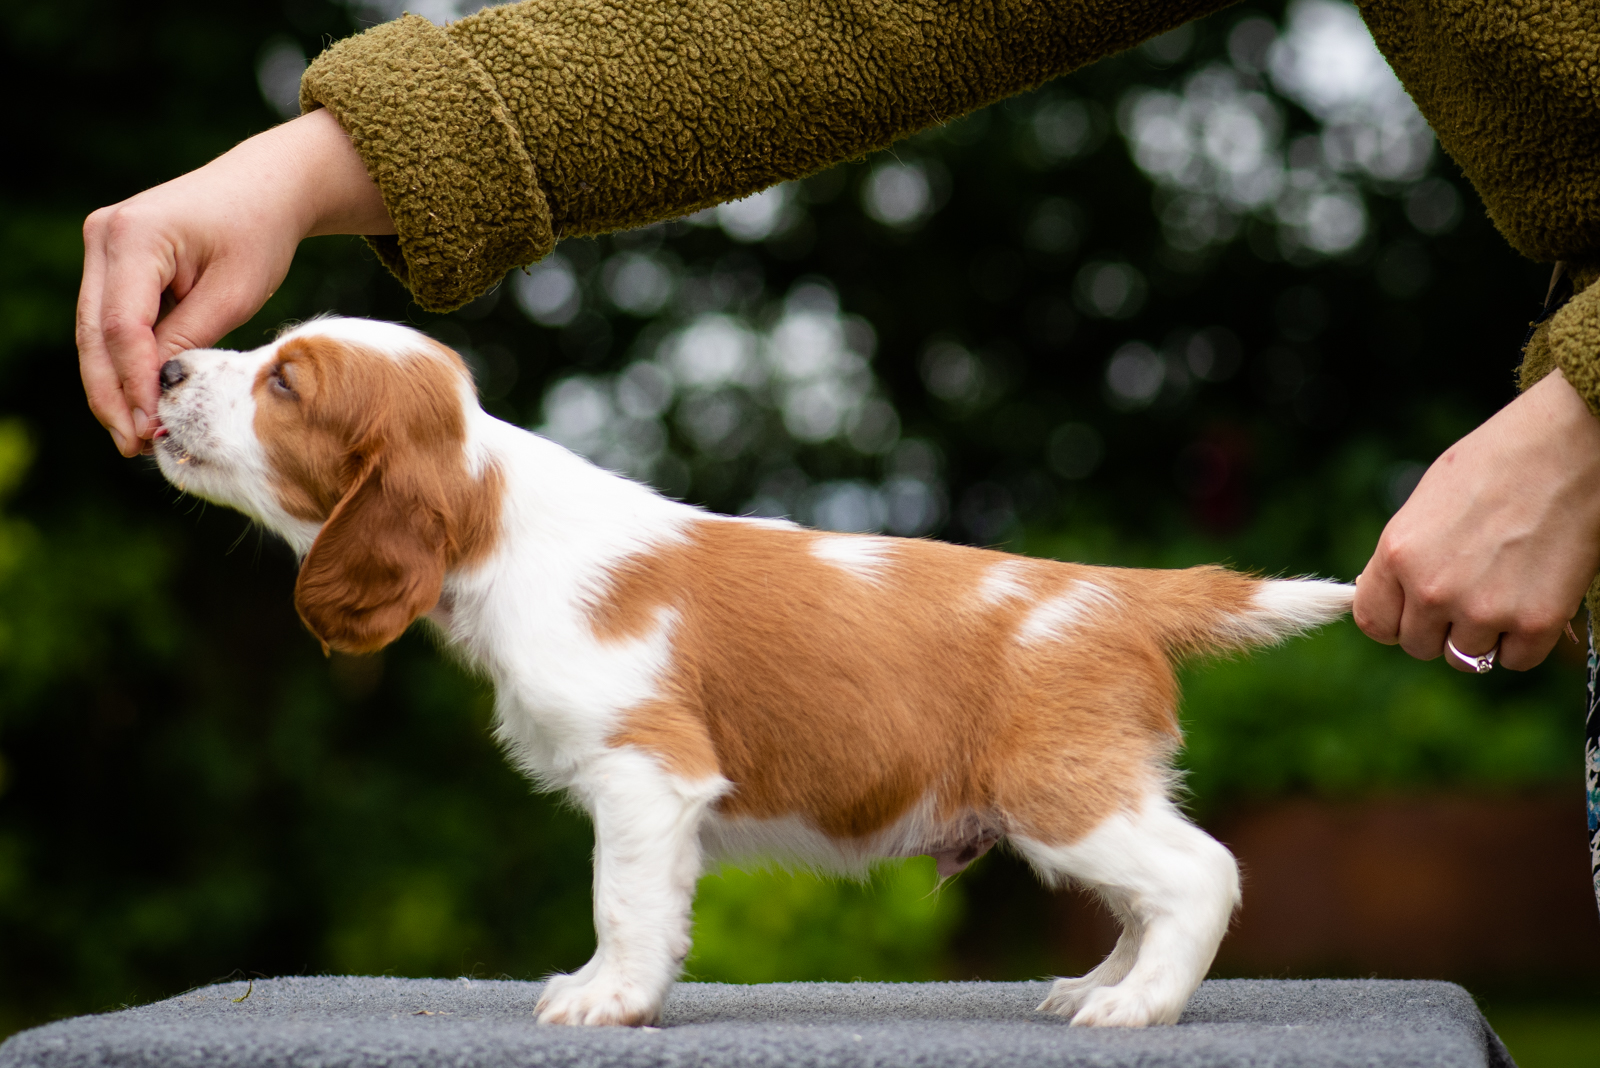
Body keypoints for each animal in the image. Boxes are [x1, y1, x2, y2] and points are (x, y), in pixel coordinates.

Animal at [150, 314, 1356, 1023]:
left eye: (286, 385)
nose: (163, 363)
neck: (500, 518)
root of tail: (1116, 590)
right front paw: (602, 991)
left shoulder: (646, 775)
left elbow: (622, 903)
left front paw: (608, 1002)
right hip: (1089, 795)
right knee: (1144, 894)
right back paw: (1097, 985)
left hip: (1062, 793)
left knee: (1200, 874)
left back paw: (1136, 1006)